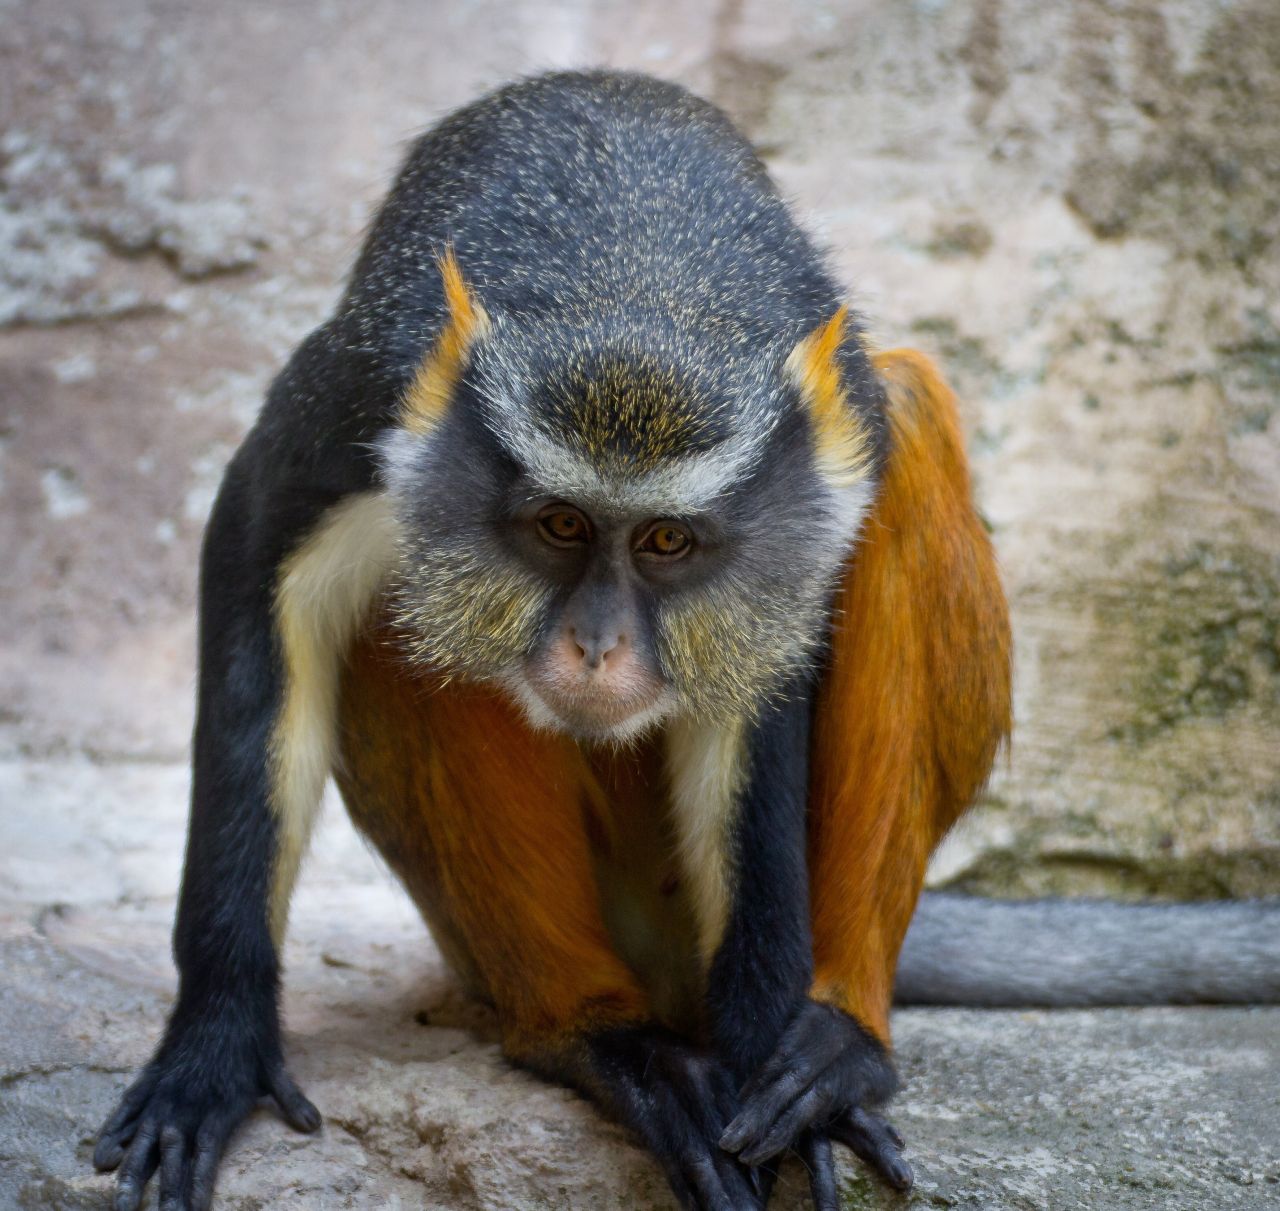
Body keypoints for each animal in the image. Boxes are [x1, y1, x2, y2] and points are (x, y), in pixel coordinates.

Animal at [90, 70, 1278, 1211]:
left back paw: (837, 1039)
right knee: (394, 620)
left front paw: (787, 1094)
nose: (596, 645)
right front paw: (213, 1046)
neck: (635, 287)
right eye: (560, 526)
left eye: (666, 541)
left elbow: (758, 713)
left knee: (910, 410)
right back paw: (601, 1039)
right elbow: (260, 571)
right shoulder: (362, 403)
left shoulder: (802, 494)